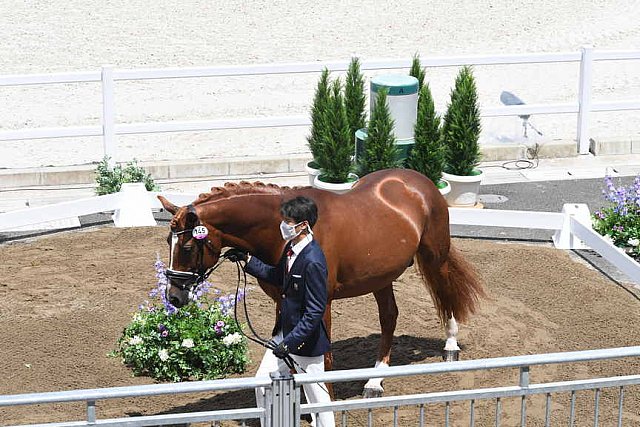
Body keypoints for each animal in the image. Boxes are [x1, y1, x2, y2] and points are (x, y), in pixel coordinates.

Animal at [158, 168, 482, 398]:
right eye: (167, 241)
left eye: (188, 246)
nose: (173, 296)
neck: (285, 236)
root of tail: (417, 180)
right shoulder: (283, 303)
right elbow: (282, 356)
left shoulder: (320, 303)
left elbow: (324, 362)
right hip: (381, 277)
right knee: (389, 317)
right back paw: (375, 380)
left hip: (435, 256)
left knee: (446, 293)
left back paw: (450, 345)